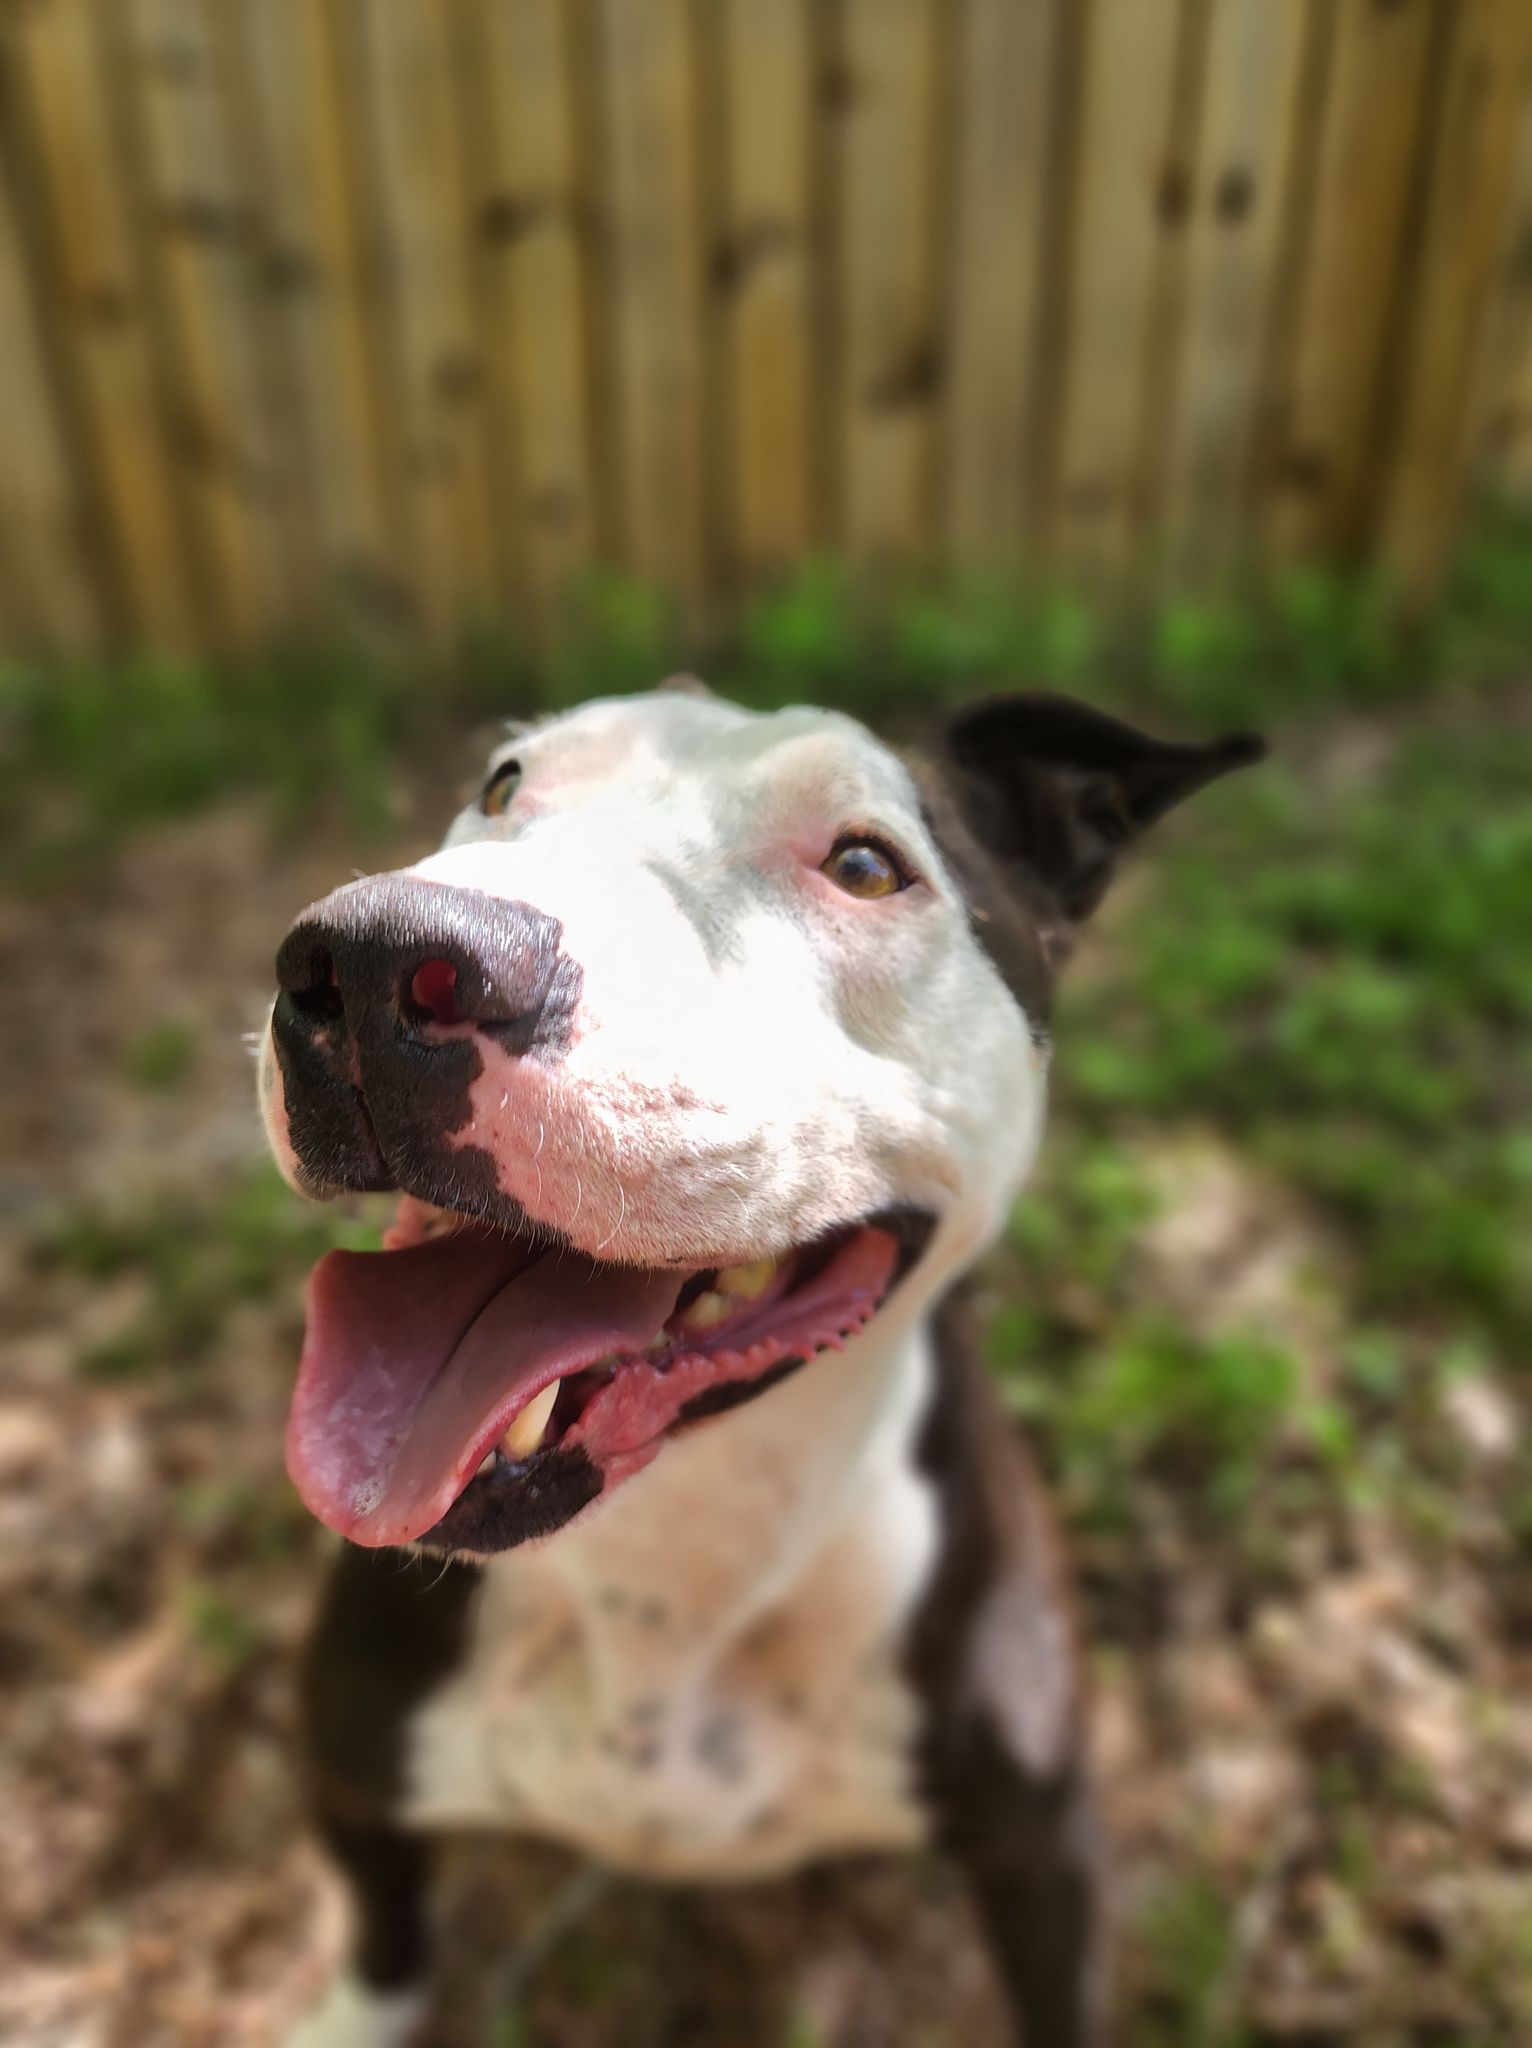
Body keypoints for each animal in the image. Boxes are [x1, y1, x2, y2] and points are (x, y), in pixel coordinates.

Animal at [259, 681, 1262, 2046]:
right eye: (504, 785)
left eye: (865, 865)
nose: (372, 957)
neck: (680, 1548)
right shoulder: (351, 1763)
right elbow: (381, 1937)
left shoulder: (1043, 1839)